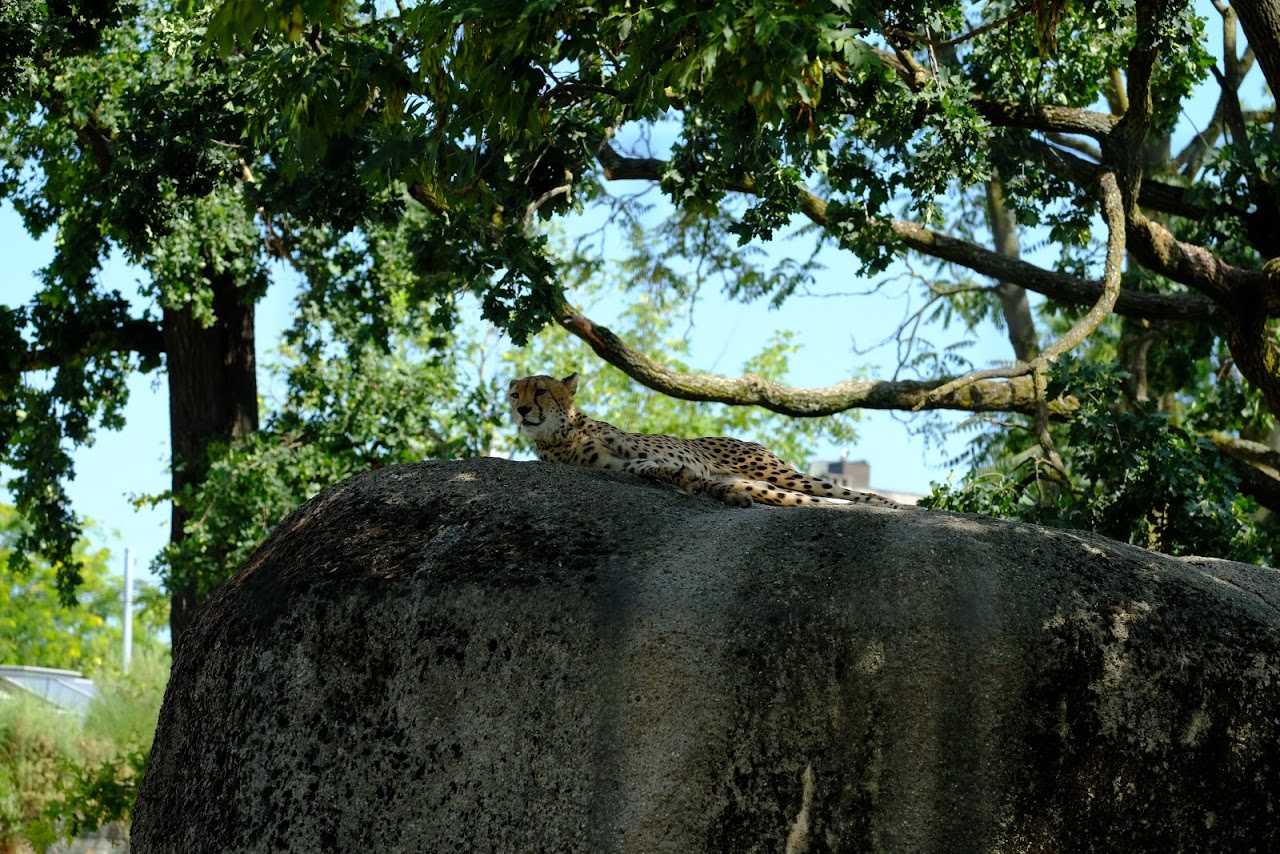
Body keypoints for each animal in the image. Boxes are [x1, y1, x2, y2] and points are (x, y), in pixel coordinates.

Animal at [508, 371, 904, 509]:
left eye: (540, 391)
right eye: (515, 394)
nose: (523, 410)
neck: (561, 434)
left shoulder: (631, 448)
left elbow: (656, 459)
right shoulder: (621, 465)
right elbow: (656, 470)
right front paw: (687, 480)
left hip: (776, 473)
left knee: (844, 492)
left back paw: (890, 504)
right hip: (768, 486)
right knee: (814, 500)